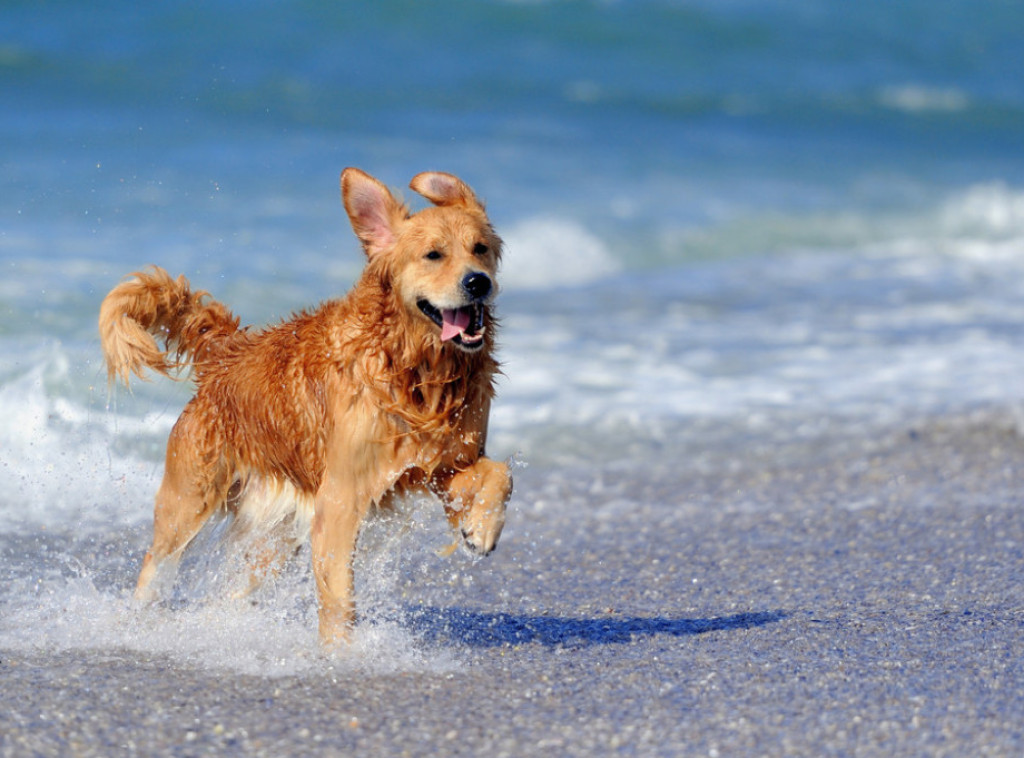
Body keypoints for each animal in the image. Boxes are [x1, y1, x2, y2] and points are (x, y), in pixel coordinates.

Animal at [98, 170, 512, 647]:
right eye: (433, 255)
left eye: (480, 248)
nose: (478, 282)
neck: (414, 368)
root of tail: (227, 354)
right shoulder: (342, 496)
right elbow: (338, 595)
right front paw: (340, 653)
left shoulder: (443, 465)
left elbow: (499, 472)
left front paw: (481, 529)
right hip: (188, 501)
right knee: (156, 565)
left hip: (276, 534)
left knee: (236, 590)